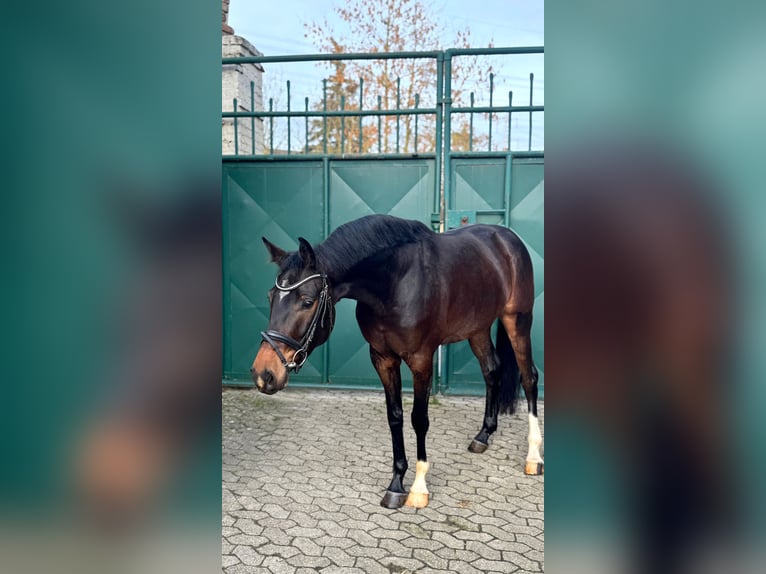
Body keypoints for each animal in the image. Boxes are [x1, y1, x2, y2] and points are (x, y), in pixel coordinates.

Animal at [251, 214, 542, 509]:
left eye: (307, 301)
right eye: (270, 297)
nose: (264, 373)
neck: (394, 284)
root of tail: (506, 238)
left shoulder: (421, 360)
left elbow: (419, 419)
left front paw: (418, 487)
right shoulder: (383, 359)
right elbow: (395, 416)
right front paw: (396, 484)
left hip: (517, 321)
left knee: (529, 377)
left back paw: (533, 457)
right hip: (478, 328)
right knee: (491, 371)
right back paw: (483, 435)